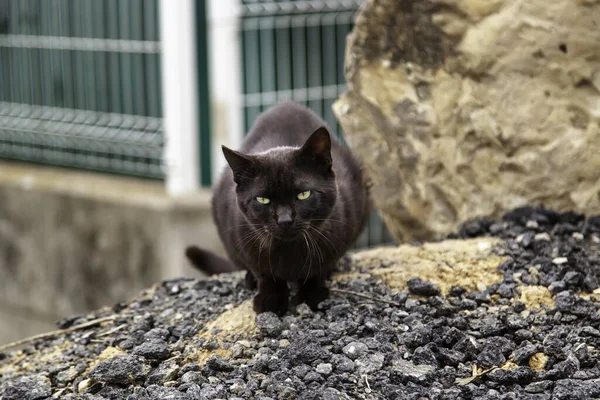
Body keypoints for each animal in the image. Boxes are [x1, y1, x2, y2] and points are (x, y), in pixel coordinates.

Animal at [186, 103, 370, 316]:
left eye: (303, 195)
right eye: (263, 200)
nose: (284, 219)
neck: (289, 253)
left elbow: (316, 271)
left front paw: (313, 296)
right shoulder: (247, 246)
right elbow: (266, 274)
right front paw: (270, 301)